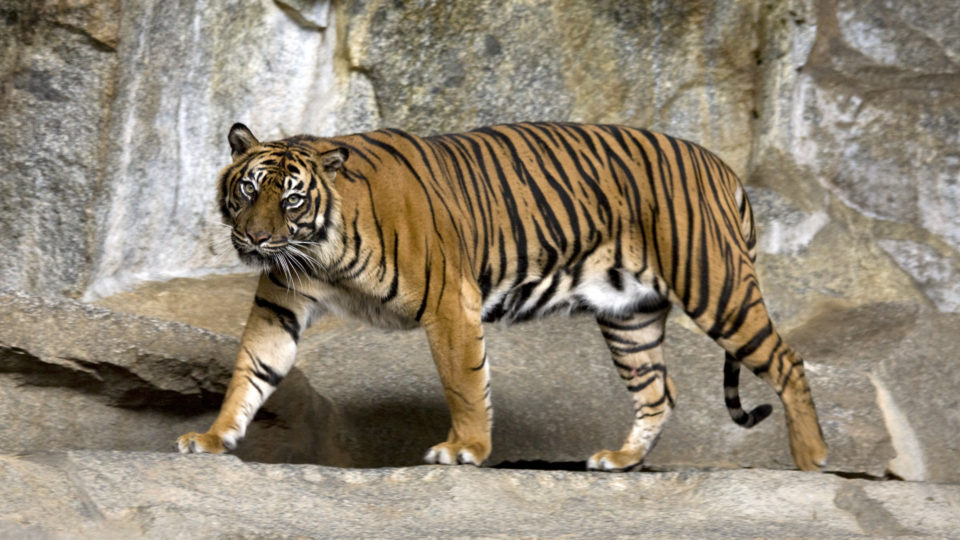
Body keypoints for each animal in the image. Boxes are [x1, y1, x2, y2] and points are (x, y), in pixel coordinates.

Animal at [176, 121, 828, 472]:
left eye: (290, 199)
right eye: (248, 190)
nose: (255, 238)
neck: (321, 252)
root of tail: (721, 165)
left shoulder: (449, 300)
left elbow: (464, 382)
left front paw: (465, 448)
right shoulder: (280, 305)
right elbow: (250, 372)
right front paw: (212, 438)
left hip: (715, 285)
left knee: (788, 361)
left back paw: (812, 460)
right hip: (630, 316)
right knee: (657, 393)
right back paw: (620, 461)